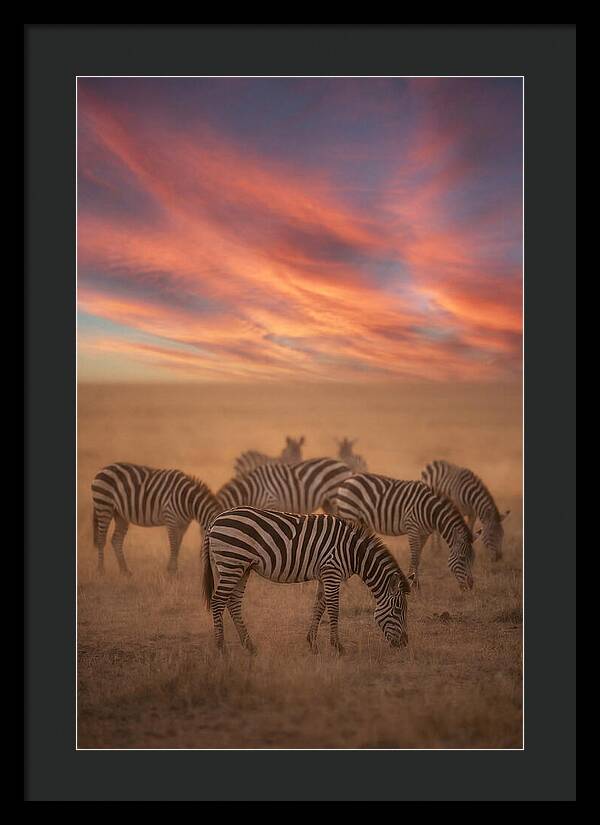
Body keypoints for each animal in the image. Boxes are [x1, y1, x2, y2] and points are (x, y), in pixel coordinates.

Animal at [92, 462, 221, 576]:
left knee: (116, 540)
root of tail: (104, 468)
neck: (188, 501)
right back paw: (101, 571)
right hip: (104, 506)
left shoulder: (183, 525)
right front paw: (172, 572)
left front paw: (172, 570)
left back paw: (125, 571)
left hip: (120, 514)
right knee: (101, 539)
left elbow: (178, 545)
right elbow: (174, 544)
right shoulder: (170, 518)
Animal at [202, 506, 412, 654]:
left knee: (233, 602)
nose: (404, 643)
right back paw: (221, 647)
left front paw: (312, 643)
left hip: (241, 567)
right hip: (232, 562)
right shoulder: (332, 572)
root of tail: (216, 520)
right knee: (218, 601)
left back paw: (250, 646)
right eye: (398, 610)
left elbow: (319, 606)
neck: (353, 552)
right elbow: (334, 608)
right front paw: (338, 646)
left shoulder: (324, 574)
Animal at [330, 473, 482, 591]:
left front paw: (415, 583)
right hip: (350, 513)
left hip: (362, 521)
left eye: (473, 559)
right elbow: (414, 556)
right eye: (462, 558)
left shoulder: (424, 533)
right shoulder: (412, 527)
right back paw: (346, 584)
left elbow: (418, 557)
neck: (431, 511)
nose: (470, 586)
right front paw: (414, 583)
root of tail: (348, 480)